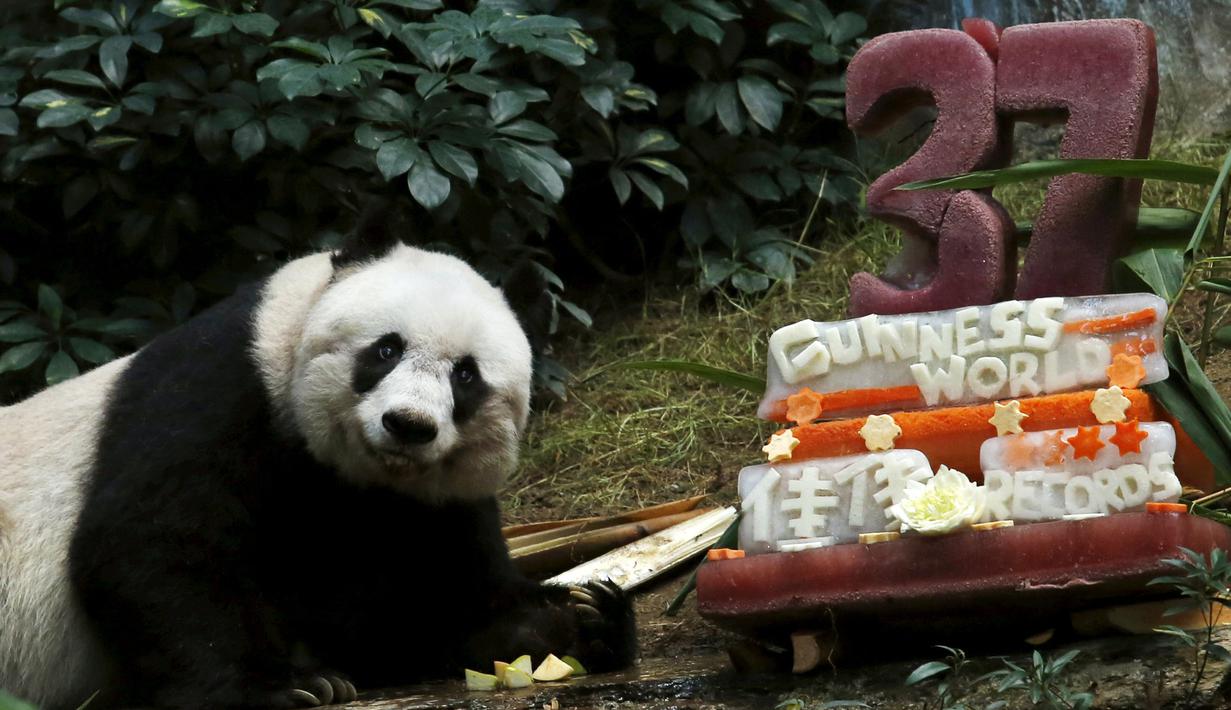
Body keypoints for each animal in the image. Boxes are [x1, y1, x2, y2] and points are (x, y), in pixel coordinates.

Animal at [0, 205, 636, 709]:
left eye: (466, 376)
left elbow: (438, 604)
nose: (408, 425)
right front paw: (279, 687)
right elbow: (155, 541)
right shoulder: (218, 388)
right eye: (386, 349)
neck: (349, 475)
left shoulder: (430, 505)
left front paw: (585, 616)